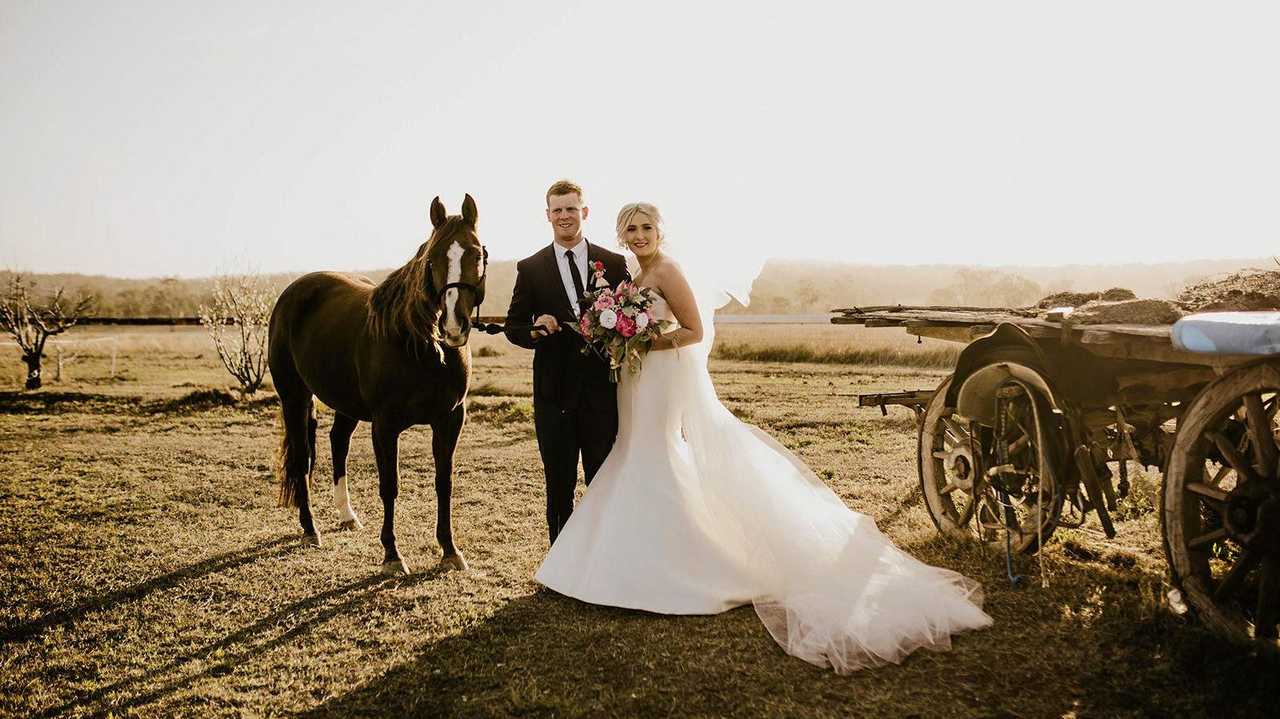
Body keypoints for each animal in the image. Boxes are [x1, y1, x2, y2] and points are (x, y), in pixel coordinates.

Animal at [267, 193, 486, 573]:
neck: (417, 342)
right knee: (301, 458)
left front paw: (449, 550)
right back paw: (310, 530)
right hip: (294, 398)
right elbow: (390, 486)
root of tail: (291, 295)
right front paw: (392, 555)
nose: (453, 326)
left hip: (345, 403)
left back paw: (346, 515)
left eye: (475, 254)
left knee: (337, 443)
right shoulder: (384, 426)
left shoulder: (449, 420)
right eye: (432, 259)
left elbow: (443, 482)